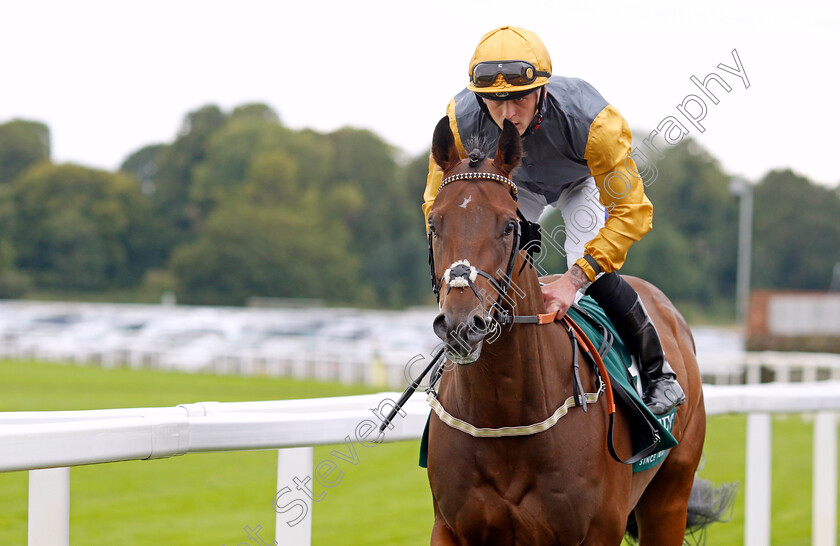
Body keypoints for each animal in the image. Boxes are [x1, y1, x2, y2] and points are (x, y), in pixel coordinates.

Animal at [424, 115, 732, 540]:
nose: (461, 325)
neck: (504, 415)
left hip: (670, 494)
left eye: (508, 226)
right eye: (434, 223)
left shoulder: (600, 529)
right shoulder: (450, 527)